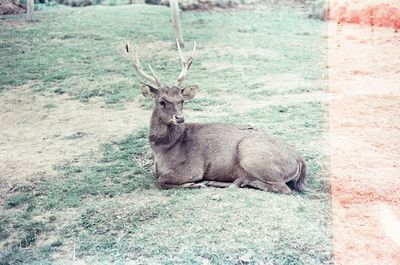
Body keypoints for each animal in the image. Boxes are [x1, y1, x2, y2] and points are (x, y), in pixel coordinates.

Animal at [125, 41, 306, 194]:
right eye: (162, 101)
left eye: (181, 100)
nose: (180, 118)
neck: (164, 151)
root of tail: (299, 160)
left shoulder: (193, 168)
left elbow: (162, 180)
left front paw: (195, 184)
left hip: (251, 154)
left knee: (282, 188)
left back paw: (240, 181)